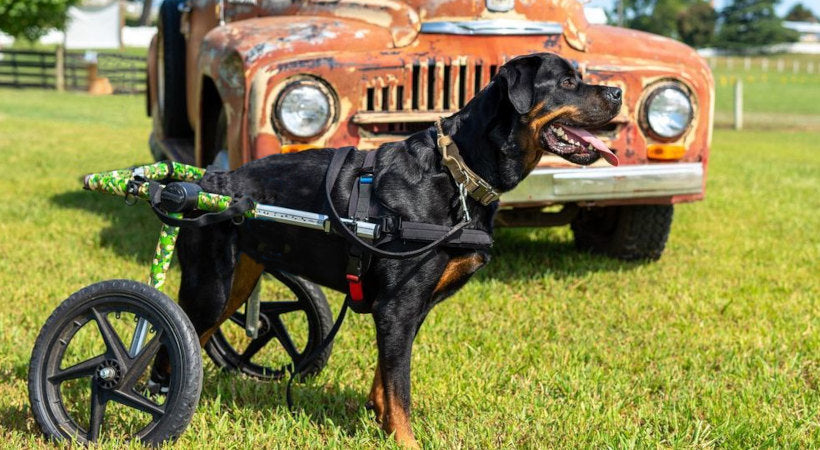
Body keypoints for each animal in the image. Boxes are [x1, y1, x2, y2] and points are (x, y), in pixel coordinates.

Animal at [175, 52, 620, 446]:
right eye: (567, 83)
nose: (617, 91)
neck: (459, 171)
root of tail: (211, 182)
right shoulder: (398, 306)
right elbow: (400, 387)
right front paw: (406, 439)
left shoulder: (409, 307)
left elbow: (387, 377)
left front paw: (379, 418)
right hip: (209, 288)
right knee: (172, 344)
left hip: (238, 282)